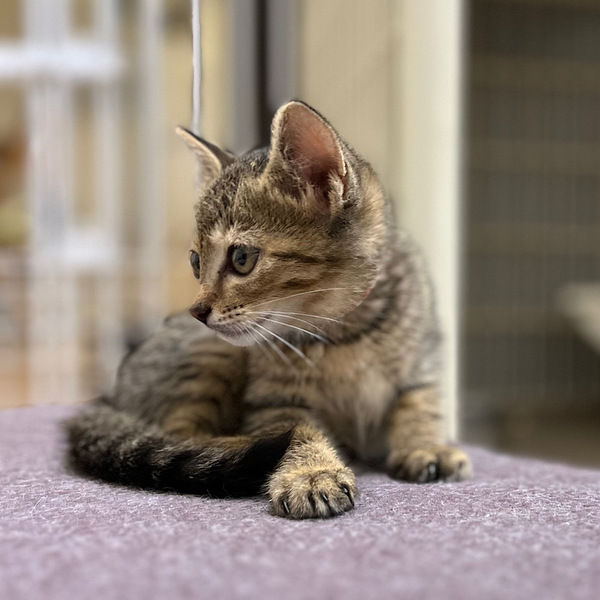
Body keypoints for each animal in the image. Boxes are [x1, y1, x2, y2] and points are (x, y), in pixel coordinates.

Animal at [67, 100, 471, 519]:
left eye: (241, 258)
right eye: (196, 262)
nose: (197, 310)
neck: (341, 331)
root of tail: (111, 395)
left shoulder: (422, 358)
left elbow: (421, 403)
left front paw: (427, 445)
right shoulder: (275, 401)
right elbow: (297, 431)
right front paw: (312, 473)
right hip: (209, 353)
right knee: (177, 434)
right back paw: (237, 445)